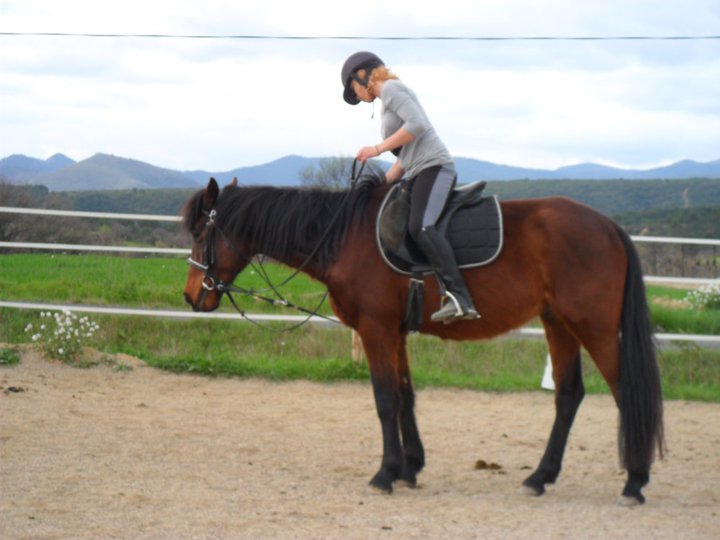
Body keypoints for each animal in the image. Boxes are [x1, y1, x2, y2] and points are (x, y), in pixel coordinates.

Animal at [183, 175, 668, 504]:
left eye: (202, 233)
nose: (191, 295)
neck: (347, 236)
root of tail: (608, 227)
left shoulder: (376, 329)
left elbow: (384, 400)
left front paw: (385, 474)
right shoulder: (393, 332)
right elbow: (405, 396)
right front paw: (409, 467)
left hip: (593, 326)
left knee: (626, 392)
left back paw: (634, 481)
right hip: (558, 323)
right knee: (568, 395)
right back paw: (540, 477)